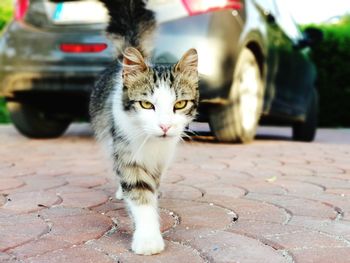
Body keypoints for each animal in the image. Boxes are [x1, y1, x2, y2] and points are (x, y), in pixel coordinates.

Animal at [89, 0, 200, 256]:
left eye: (180, 104)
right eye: (147, 105)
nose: (165, 126)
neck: (151, 143)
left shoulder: (161, 160)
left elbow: (152, 186)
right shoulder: (125, 151)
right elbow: (140, 194)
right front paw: (148, 239)